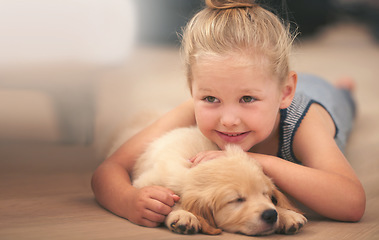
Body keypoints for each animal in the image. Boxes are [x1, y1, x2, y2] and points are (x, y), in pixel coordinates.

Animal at [132, 126, 308, 235]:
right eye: (237, 200)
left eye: (265, 194)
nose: (271, 215)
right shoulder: (148, 180)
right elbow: (171, 200)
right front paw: (183, 215)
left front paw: (286, 214)